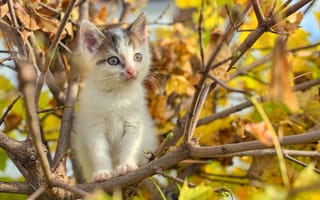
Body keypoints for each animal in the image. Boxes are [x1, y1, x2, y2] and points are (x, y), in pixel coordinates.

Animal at [72, 14, 158, 182]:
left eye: (137, 57)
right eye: (113, 61)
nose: (131, 71)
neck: (117, 96)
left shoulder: (134, 121)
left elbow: (130, 144)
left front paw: (126, 166)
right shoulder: (93, 125)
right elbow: (98, 150)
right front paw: (103, 172)